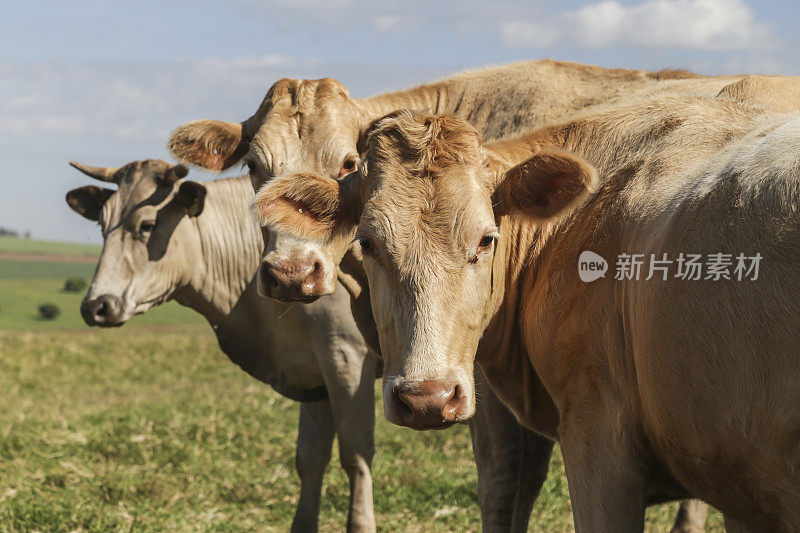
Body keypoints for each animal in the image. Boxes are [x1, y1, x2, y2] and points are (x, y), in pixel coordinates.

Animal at [65, 160, 378, 528]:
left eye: (147, 225)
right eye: (102, 225)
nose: (95, 306)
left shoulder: (346, 357)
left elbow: (356, 456)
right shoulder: (313, 373)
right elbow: (310, 457)